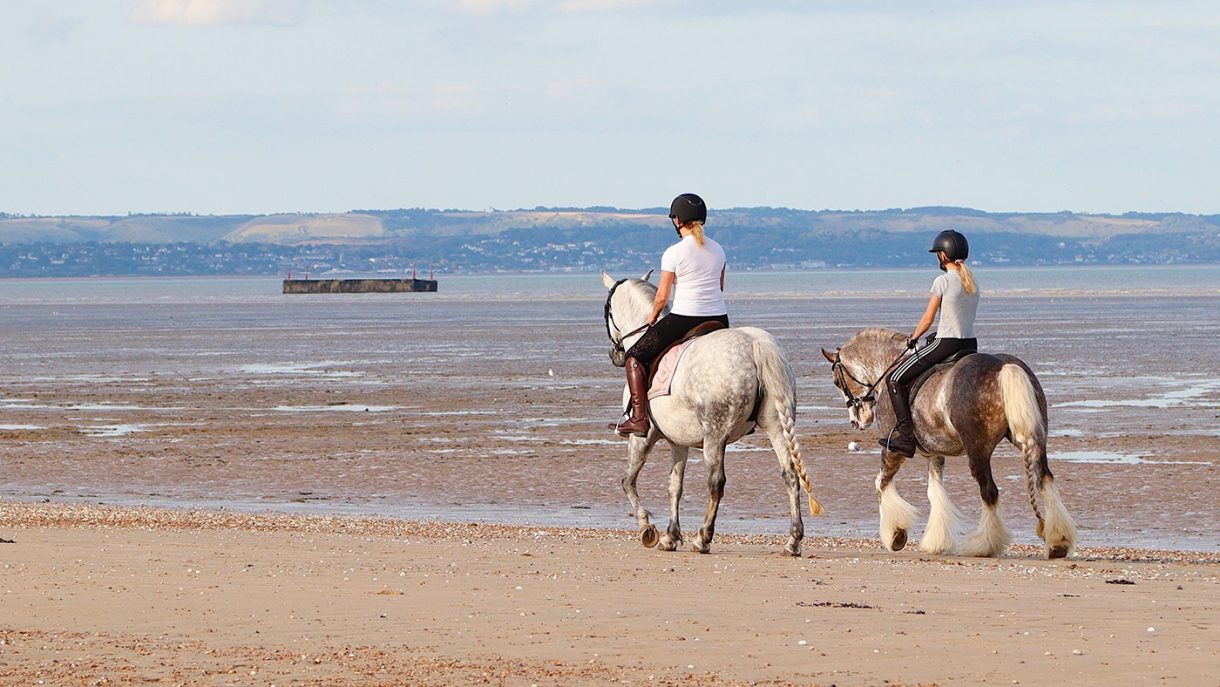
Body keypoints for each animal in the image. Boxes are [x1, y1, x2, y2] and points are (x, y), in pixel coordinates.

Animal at [601, 271, 823, 555]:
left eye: (607, 310)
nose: (615, 355)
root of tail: (757, 345)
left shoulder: (643, 436)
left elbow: (628, 481)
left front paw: (647, 527)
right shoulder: (678, 441)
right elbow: (675, 486)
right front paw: (671, 536)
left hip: (715, 434)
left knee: (716, 482)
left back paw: (703, 537)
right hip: (776, 426)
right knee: (791, 475)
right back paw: (793, 541)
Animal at [821, 328, 1077, 559]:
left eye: (836, 381)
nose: (857, 421)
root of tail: (1003, 366)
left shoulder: (892, 450)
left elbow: (880, 483)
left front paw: (896, 534)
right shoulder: (934, 454)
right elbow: (934, 491)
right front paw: (936, 541)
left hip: (978, 450)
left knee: (989, 492)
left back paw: (984, 546)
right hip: (1035, 440)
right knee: (1044, 478)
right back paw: (1058, 542)